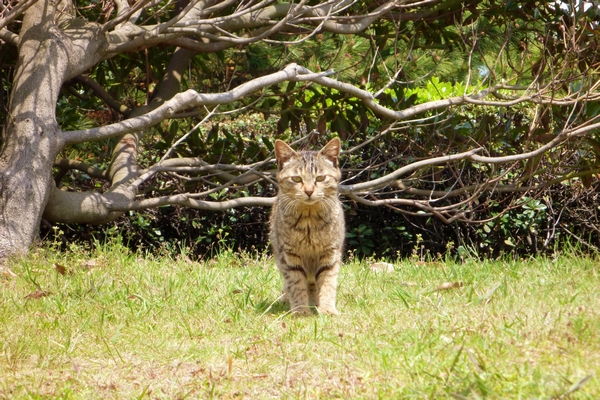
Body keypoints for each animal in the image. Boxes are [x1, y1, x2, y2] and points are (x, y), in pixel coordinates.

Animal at [270, 138, 344, 316]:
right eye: (296, 179)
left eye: (321, 178)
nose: (309, 191)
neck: (309, 222)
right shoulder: (289, 257)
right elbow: (296, 286)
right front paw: (301, 311)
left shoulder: (331, 255)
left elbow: (328, 284)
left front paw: (327, 309)